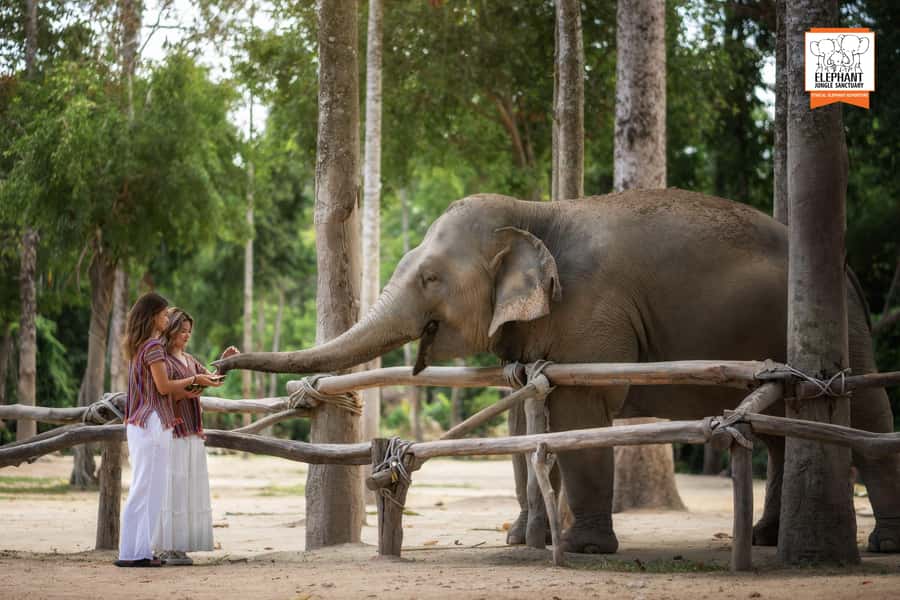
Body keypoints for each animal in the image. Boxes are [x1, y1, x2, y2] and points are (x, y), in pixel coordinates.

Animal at [216, 188, 900, 554]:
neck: (538, 211)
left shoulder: (592, 312)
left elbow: (580, 412)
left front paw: (579, 549)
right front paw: (523, 541)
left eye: (431, 278)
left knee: (864, 413)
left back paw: (880, 546)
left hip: (840, 328)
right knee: (784, 427)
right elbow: (526, 413)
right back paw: (763, 539)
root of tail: (848, 271)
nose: (223, 357)